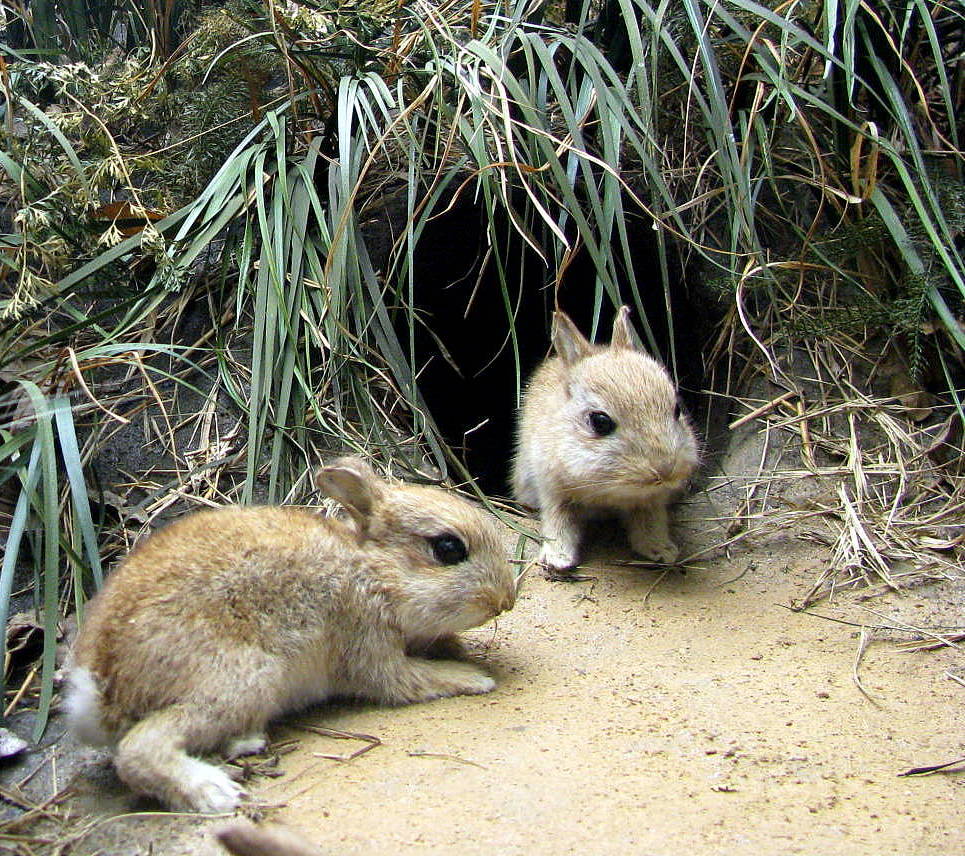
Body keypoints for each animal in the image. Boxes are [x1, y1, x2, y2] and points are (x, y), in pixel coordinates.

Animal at [64, 458, 516, 812]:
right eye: (448, 548)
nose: (506, 600)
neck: (373, 571)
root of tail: (102, 686)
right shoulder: (370, 644)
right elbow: (408, 679)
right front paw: (472, 678)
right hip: (242, 679)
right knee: (138, 750)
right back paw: (214, 792)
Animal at [516, 304, 696, 572]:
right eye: (599, 422)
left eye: (677, 409)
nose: (666, 470)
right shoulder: (553, 489)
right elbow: (559, 522)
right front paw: (558, 558)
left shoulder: (650, 502)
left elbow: (650, 523)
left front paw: (662, 551)